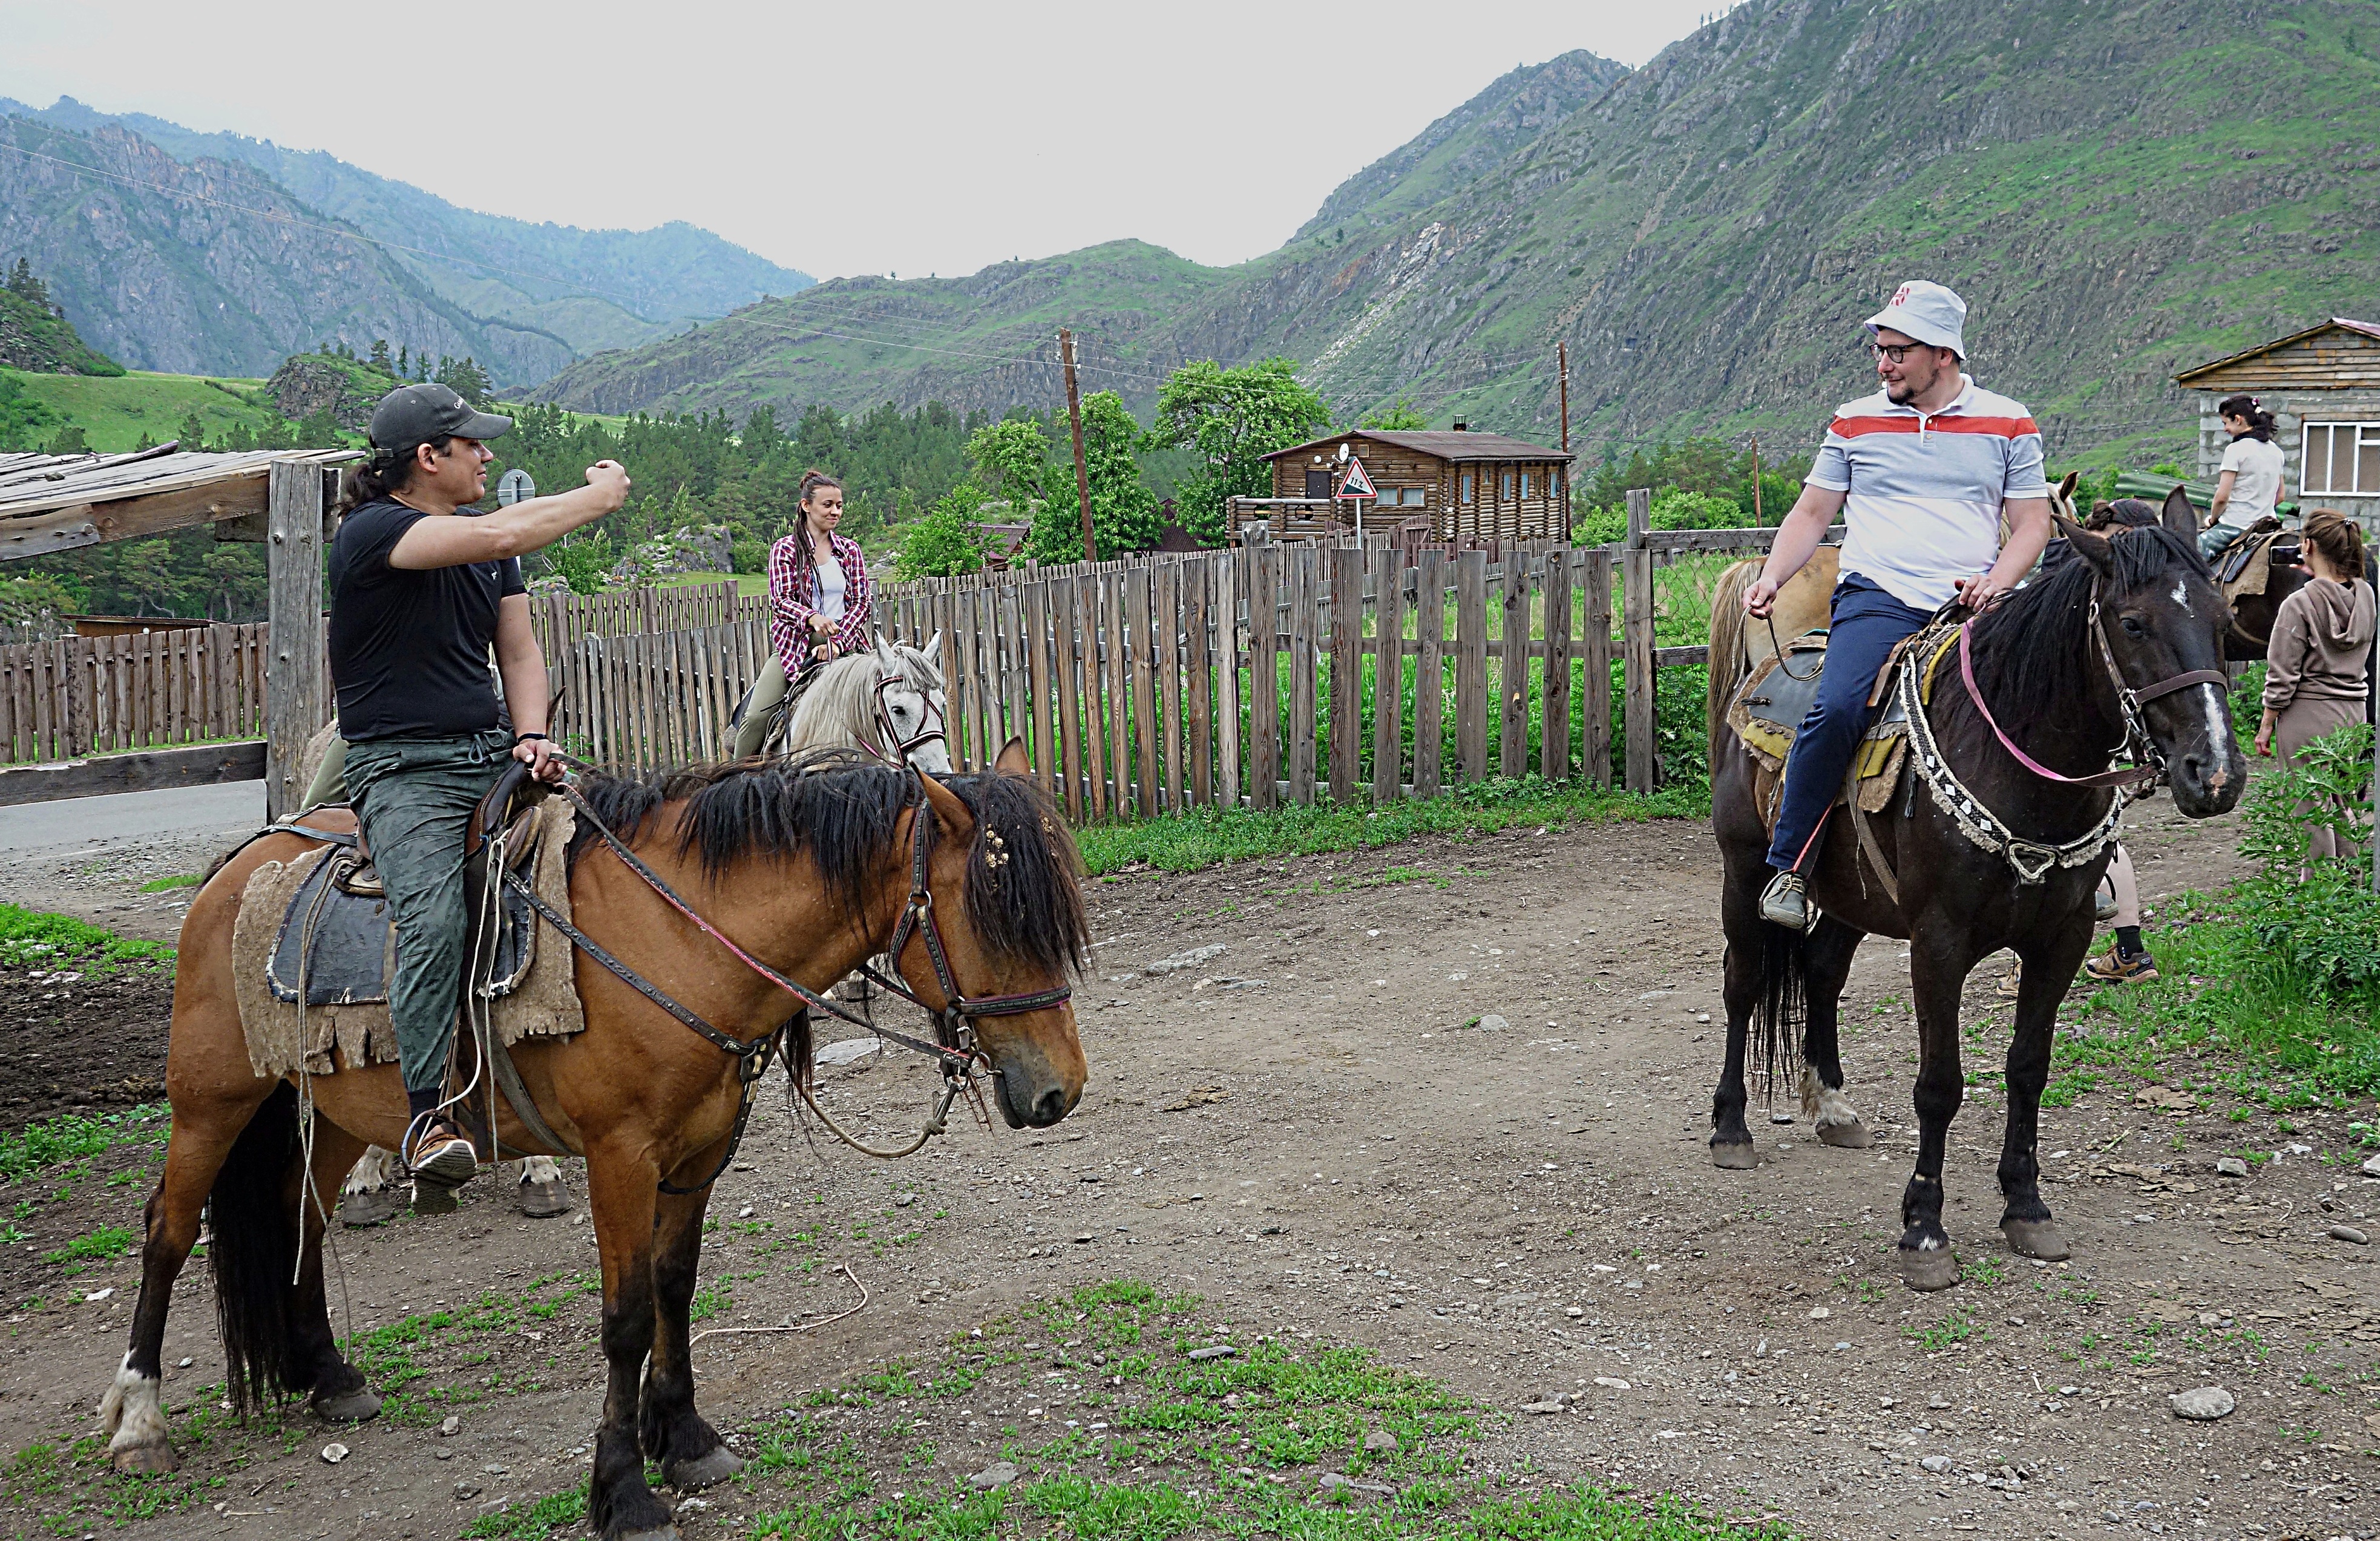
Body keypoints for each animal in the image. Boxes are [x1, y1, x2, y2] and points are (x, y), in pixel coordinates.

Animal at [100, 742, 1090, 1531]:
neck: (680, 939)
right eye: (994, 916)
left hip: (338, 1105)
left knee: (299, 1214)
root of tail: (240, 863)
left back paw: (327, 1374)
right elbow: (624, 1319)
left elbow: (675, 1287)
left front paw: (684, 1436)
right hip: (211, 1101)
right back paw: (140, 1420)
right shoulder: (622, 1157)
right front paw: (622, 1487)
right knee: (168, 1231)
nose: (1059, 1092)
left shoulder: (697, 1155)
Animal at [1704, 497, 2237, 1284]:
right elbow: (1940, 1084)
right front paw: (1925, 1231)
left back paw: (1832, 1106)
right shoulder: (1939, 942)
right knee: (1742, 984)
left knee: (1823, 971)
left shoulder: (2062, 940)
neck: (2018, 766)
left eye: (2223, 616)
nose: (2217, 773)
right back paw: (1732, 1128)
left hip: (1854, 894)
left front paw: (2027, 1207)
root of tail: (1769, 665)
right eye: (2133, 623)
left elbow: (2028, 1069)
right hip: (1742, 874)